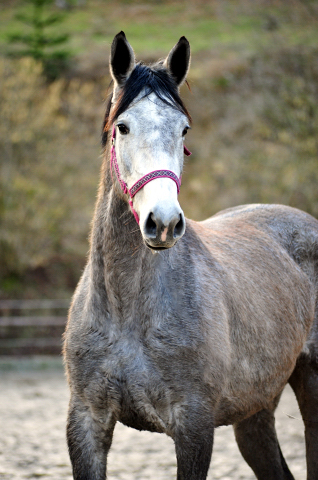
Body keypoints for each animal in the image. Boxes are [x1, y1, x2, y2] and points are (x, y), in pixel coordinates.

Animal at [63, 31, 318, 478]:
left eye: (183, 130)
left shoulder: (194, 427)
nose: (163, 222)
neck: (128, 311)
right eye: (123, 127)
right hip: (255, 410)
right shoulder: (87, 424)